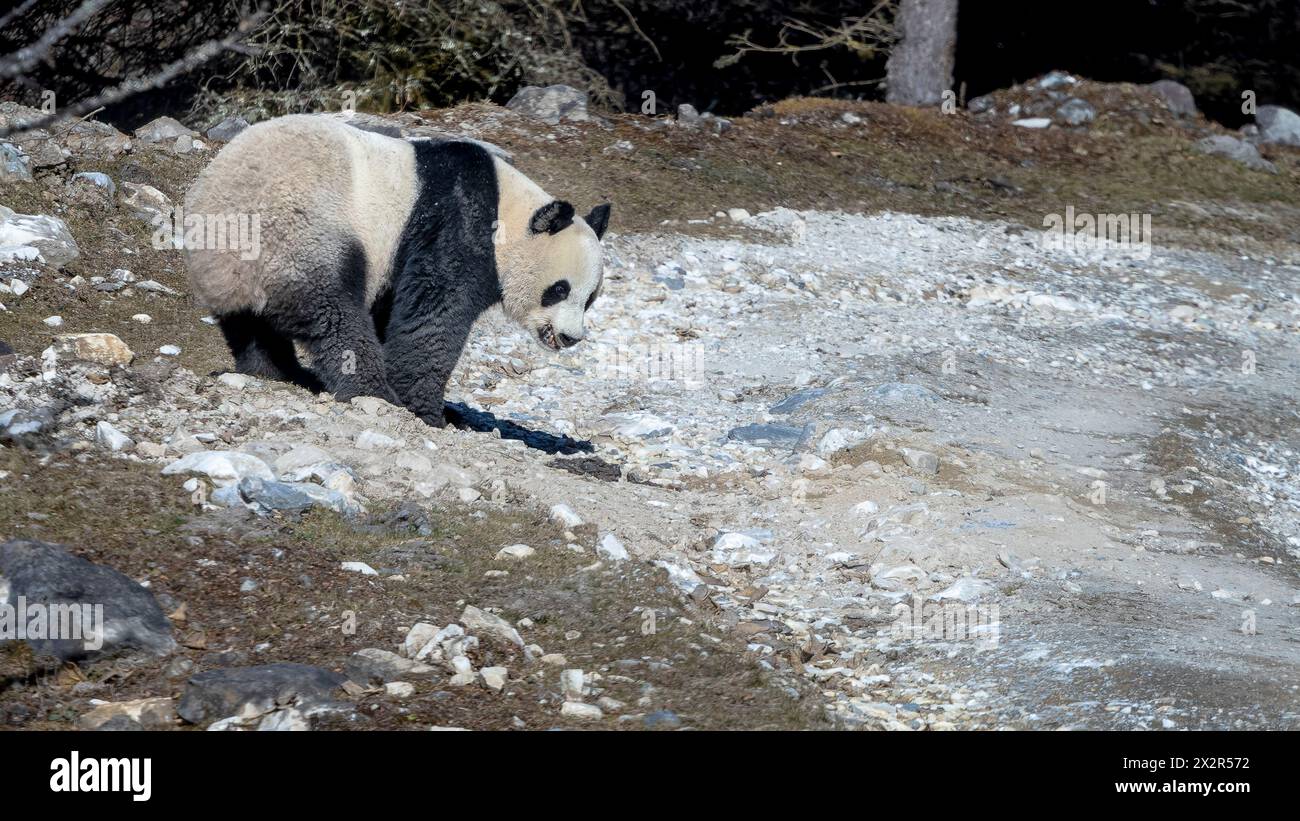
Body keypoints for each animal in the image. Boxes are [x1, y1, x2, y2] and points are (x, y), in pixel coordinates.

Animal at [183, 114, 608, 426]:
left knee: (252, 326)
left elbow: (396, 311)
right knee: (333, 313)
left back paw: (275, 372)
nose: (570, 337)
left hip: (234, 264)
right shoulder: (458, 225)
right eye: (559, 289)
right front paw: (428, 410)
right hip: (304, 230)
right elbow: (435, 314)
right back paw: (371, 390)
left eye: (590, 299)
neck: (510, 211)